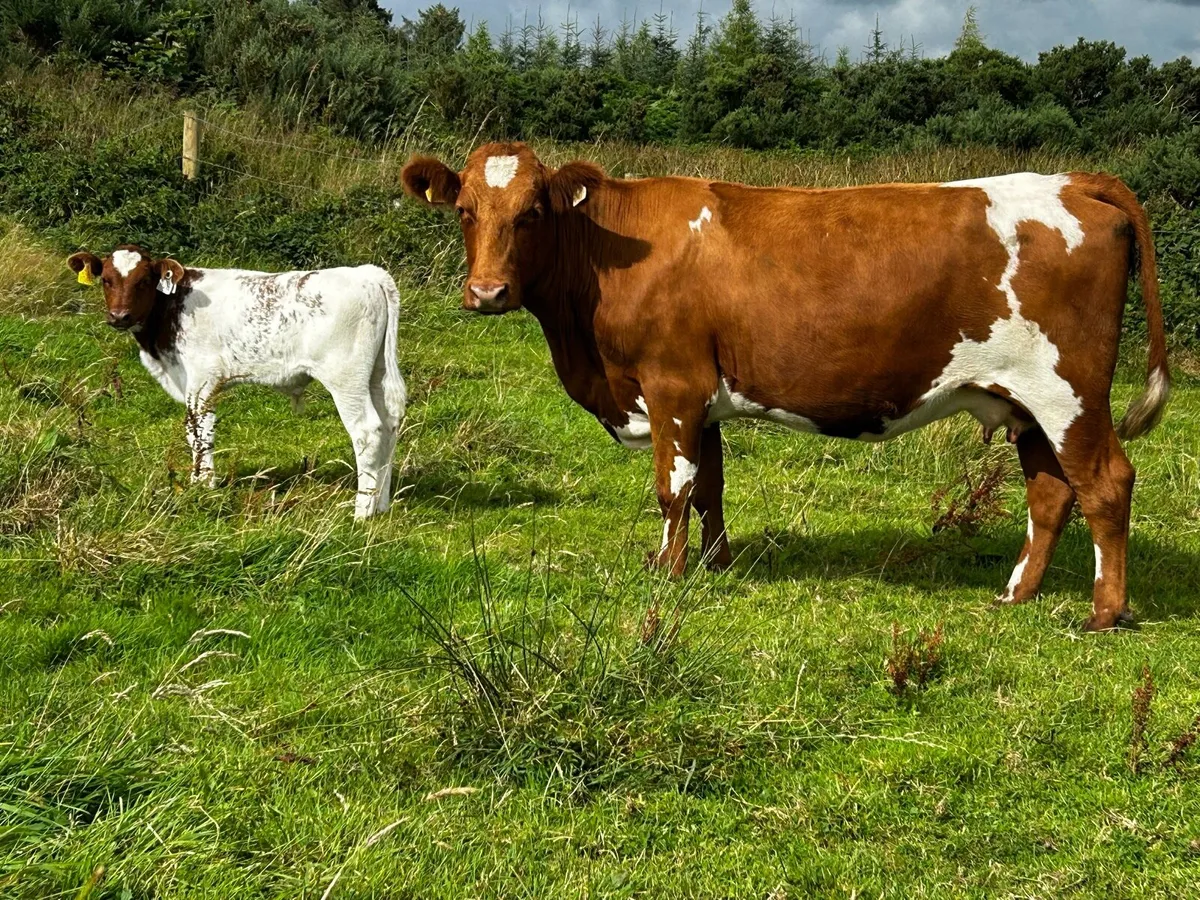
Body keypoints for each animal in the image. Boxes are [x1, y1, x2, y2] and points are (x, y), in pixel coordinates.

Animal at [66, 246, 406, 519]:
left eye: (144, 281)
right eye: (106, 280)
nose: (119, 316)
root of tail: (366, 273)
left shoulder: (202, 379)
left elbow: (200, 432)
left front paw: (202, 486)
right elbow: (197, 433)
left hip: (345, 377)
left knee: (367, 432)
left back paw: (361, 512)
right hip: (376, 374)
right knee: (390, 424)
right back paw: (381, 504)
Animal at [401, 142, 1171, 631]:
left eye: (532, 211)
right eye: (465, 210)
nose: (487, 292)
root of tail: (1072, 180)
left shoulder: (671, 383)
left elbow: (673, 488)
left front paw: (667, 574)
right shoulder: (701, 399)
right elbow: (709, 487)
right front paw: (714, 565)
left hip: (1069, 392)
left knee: (1105, 483)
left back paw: (1104, 613)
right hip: (1028, 404)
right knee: (1050, 493)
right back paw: (1015, 594)